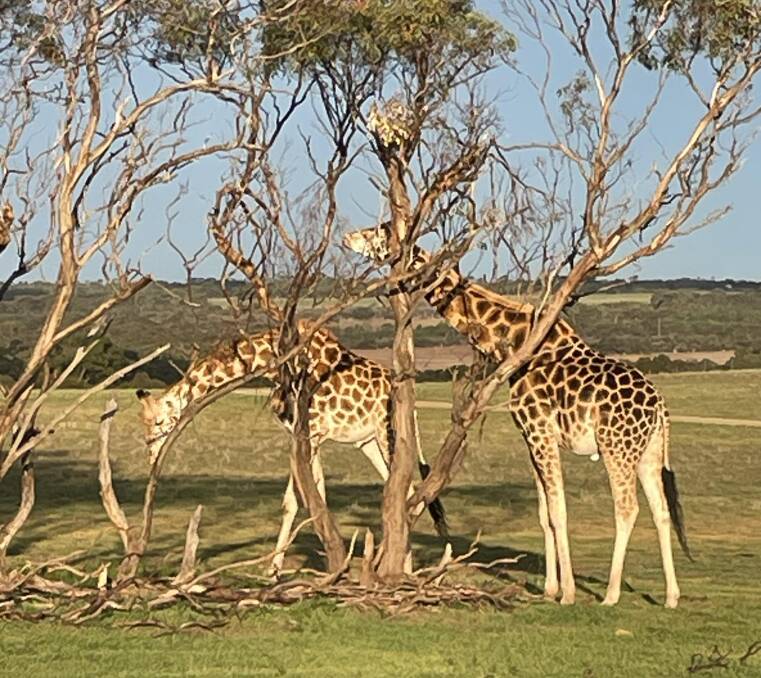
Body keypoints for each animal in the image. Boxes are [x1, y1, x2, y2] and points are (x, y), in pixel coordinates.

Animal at [136, 321, 447, 574]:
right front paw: (284, 569)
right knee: (398, 487)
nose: (152, 456)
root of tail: (412, 406)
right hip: (367, 441)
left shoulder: (312, 432)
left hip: (388, 432)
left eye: (160, 420)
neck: (275, 362)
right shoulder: (304, 436)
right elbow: (306, 499)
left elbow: (303, 499)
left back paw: (403, 568)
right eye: (144, 426)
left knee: (407, 489)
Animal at [343, 224, 692, 608]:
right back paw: (672, 596)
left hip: (616, 447)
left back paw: (612, 594)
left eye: (376, 232)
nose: (347, 237)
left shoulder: (540, 429)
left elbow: (559, 510)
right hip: (648, 451)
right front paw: (550, 588)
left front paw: (568, 593)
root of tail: (660, 406)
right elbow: (544, 515)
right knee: (662, 511)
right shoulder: (529, 436)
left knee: (628, 508)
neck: (515, 341)